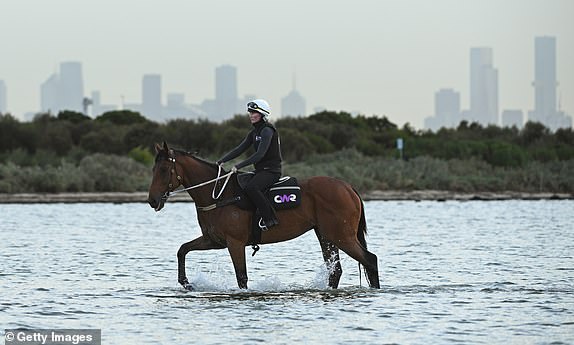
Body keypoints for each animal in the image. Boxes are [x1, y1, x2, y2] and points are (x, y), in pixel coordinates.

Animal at [148, 141, 382, 288]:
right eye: (153, 169)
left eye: (163, 170)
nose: (152, 200)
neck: (219, 194)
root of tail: (348, 187)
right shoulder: (213, 240)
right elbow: (182, 250)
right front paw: (185, 282)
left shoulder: (234, 243)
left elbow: (241, 277)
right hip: (326, 236)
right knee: (336, 270)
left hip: (342, 236)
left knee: (370, 260)